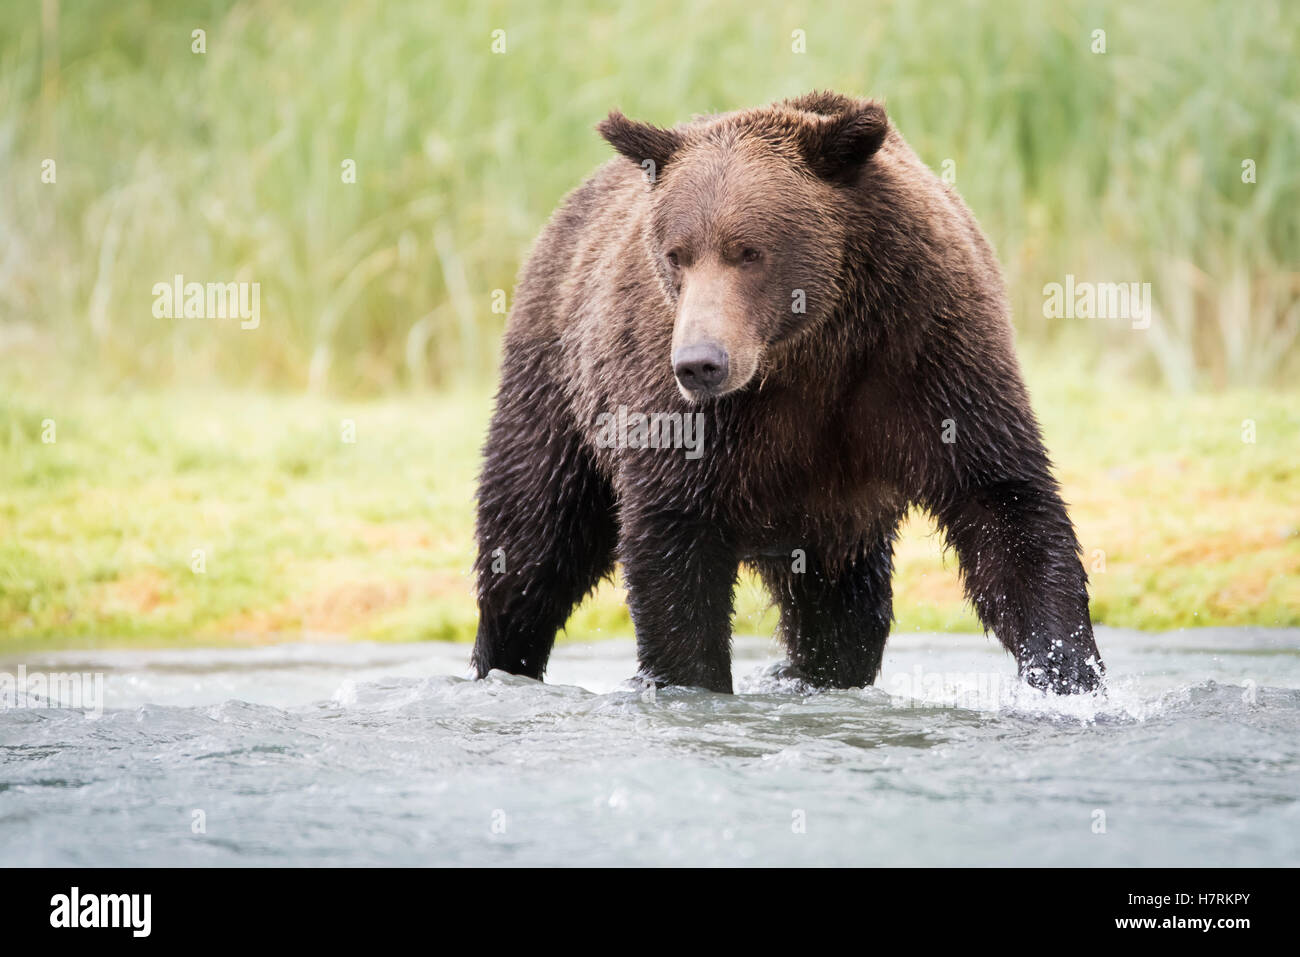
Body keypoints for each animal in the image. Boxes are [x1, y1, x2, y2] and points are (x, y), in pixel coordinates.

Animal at [473, 89, 1102, 696]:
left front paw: (1067, 671)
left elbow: (1004, 504)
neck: (813, 349)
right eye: (677, 254)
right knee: (534, 536)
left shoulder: (928, 356)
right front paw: (690, 681)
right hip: (558, 385)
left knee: (846, 613)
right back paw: (501, 660)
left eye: (748, 251)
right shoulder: (688, 417)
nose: (699, 364)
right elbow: (673, 542)